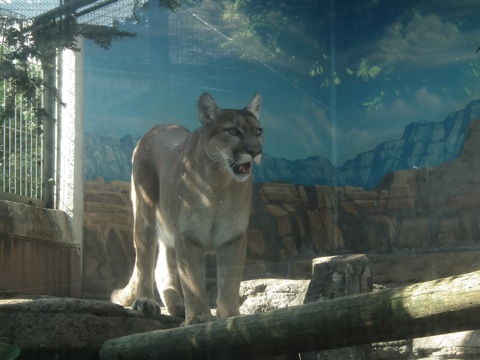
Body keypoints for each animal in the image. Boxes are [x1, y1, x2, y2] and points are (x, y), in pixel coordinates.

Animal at [111, 91, 264, 324]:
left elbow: (230, 281)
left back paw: (177, 306)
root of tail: (157, 127)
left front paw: (229, 316)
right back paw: (146, 302)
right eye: (233, 131)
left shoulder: (233, 237)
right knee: (144, 260)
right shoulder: (189, 237)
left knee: (162, 268)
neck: (220, 184)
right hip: (145, 212)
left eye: (258, 131)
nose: (255, 151)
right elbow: (192, 280)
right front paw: (199, 317)